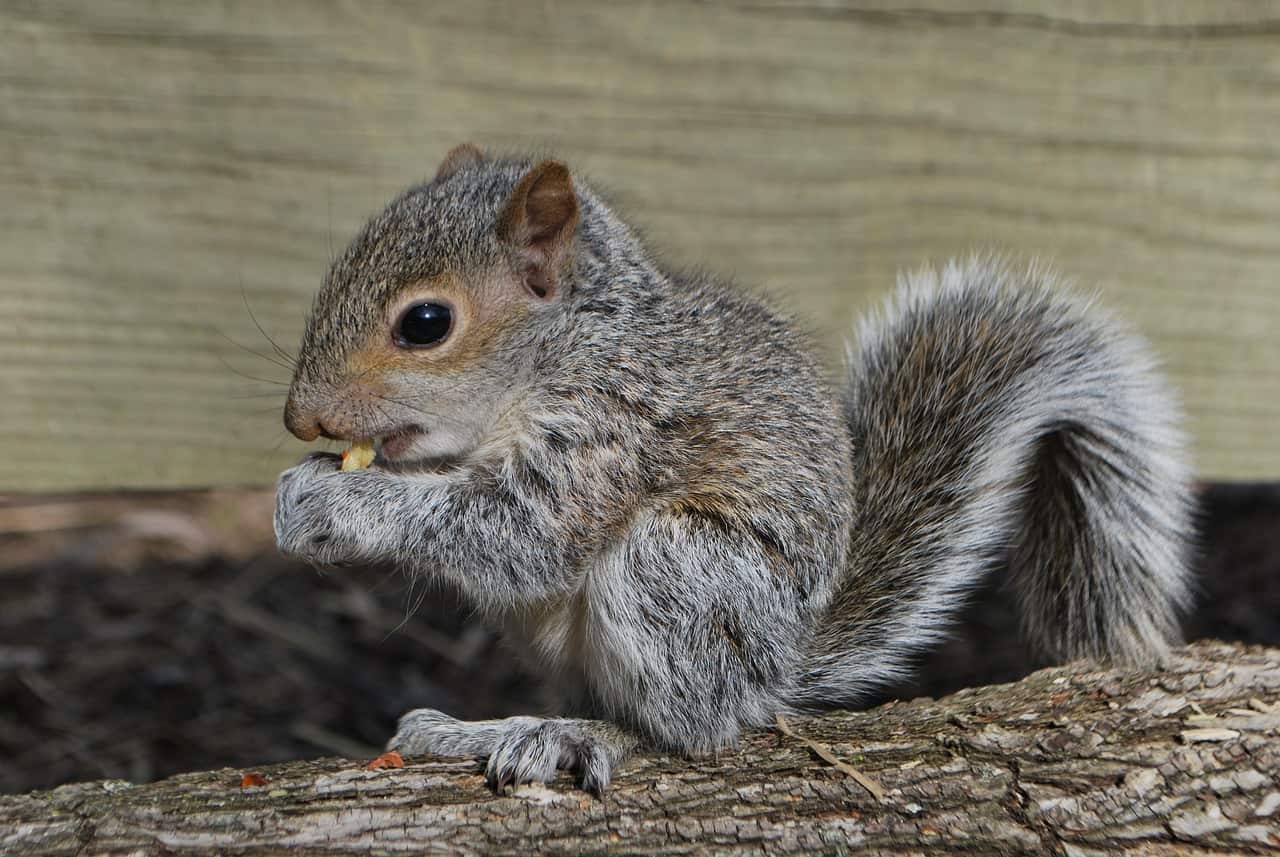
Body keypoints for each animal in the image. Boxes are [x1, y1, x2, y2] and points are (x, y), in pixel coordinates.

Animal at [275, 144, 1192, 798]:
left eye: (426, 323)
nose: (301, 418)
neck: (564, 354)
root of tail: (778, 667)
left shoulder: (614, 433)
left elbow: (523, 535)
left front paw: (335, 501)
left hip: (679, 572)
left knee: (690, 727)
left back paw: (582, 737)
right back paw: (478, 728)